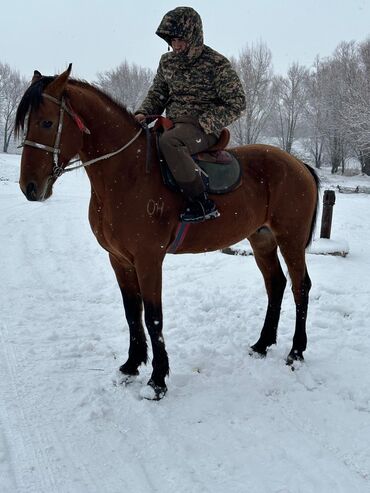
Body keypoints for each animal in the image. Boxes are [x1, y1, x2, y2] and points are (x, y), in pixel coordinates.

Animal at [15, 64, 320, 400]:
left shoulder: (149, 259)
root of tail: (299, 165)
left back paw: (296, 352)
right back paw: (262, 344)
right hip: (261, 239)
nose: (30, 187)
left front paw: (157, 380)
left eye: (46, 122)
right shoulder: (119, 260)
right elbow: (131, 312)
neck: (127, 174)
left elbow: (153, 317)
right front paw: (131, 365)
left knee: (300, 286)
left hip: (290, 238)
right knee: (276, 284)